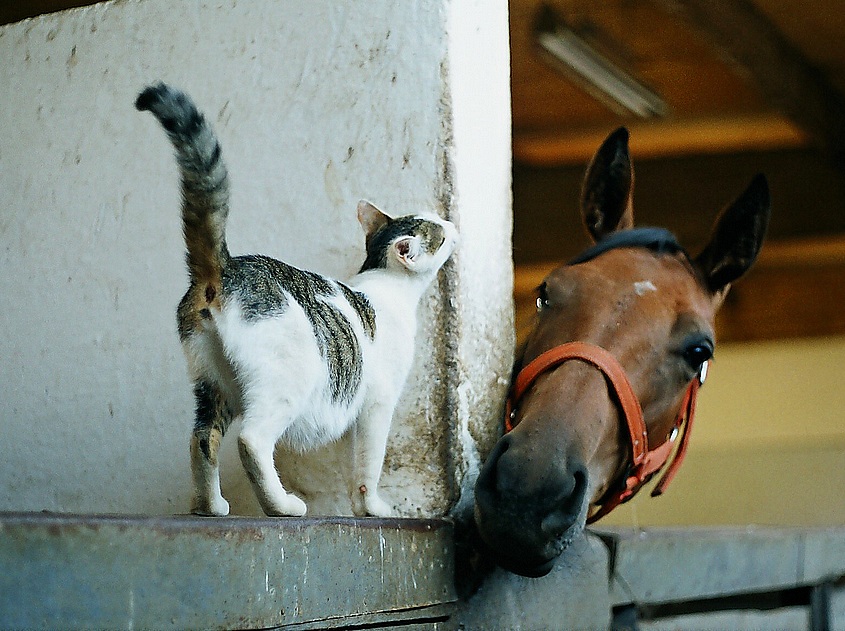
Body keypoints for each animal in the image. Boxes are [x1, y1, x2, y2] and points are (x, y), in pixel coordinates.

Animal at [135, 84, 458, 520]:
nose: (453, 224)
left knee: (202, 439)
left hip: (212, 384)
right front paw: (372, 507)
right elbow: (369, 462)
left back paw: (210, 505)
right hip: (285, 381)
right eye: (438, 232)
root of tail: (224, 267)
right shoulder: (377, 403)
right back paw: (281, 505)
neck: (386, 282)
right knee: (251, 440)